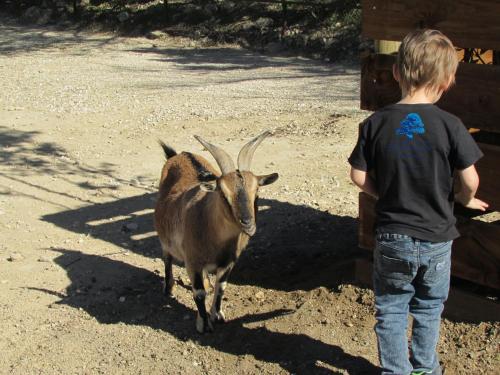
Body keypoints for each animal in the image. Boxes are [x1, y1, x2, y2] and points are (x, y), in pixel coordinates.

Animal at [153, 131, 278, 334]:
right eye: (223, 194)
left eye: (257, 192)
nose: (248, 224)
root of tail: (177, 155)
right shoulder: (193, 262)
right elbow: (198, 293)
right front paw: (204, 324)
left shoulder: (229, 262)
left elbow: (222, 286)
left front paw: (218, 315)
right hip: (164, 236)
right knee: (167, 258)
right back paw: (168, 288)